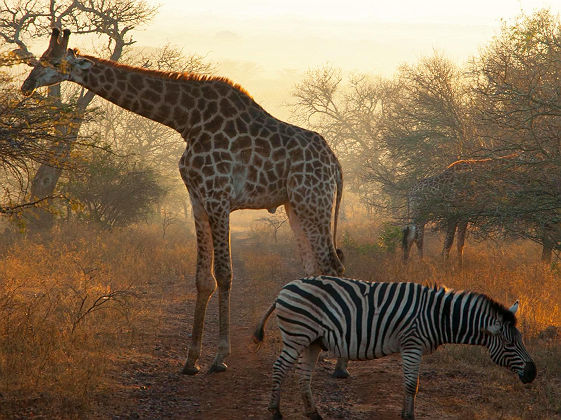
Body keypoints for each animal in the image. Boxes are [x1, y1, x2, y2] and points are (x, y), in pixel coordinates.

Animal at [21, 29, 346, 376]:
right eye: (41, 57)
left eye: (52, 61)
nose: (27, 85)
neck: (186, 121)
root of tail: (336, 164)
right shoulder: (197, 199)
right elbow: (203, 279)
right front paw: (191, 360)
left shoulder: (218, 195)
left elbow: (225, 274)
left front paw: (219, 357)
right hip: (295, 205)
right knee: (314, 267)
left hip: (313, 200)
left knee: (332, 264)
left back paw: (339, 363)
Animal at [253, 276, 532, 420]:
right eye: (510, 343)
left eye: (521, 340)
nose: (533, 373)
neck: (438, 316)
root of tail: (285, 288)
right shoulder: (412, 344)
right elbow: (411, 385)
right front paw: (408, 417)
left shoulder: (413, 347)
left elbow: (413, 384)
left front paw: (406, 414)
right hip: (297, 335)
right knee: (279, 368)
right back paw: (275, 411)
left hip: (312, 341)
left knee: (304, 375)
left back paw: (313, 414)